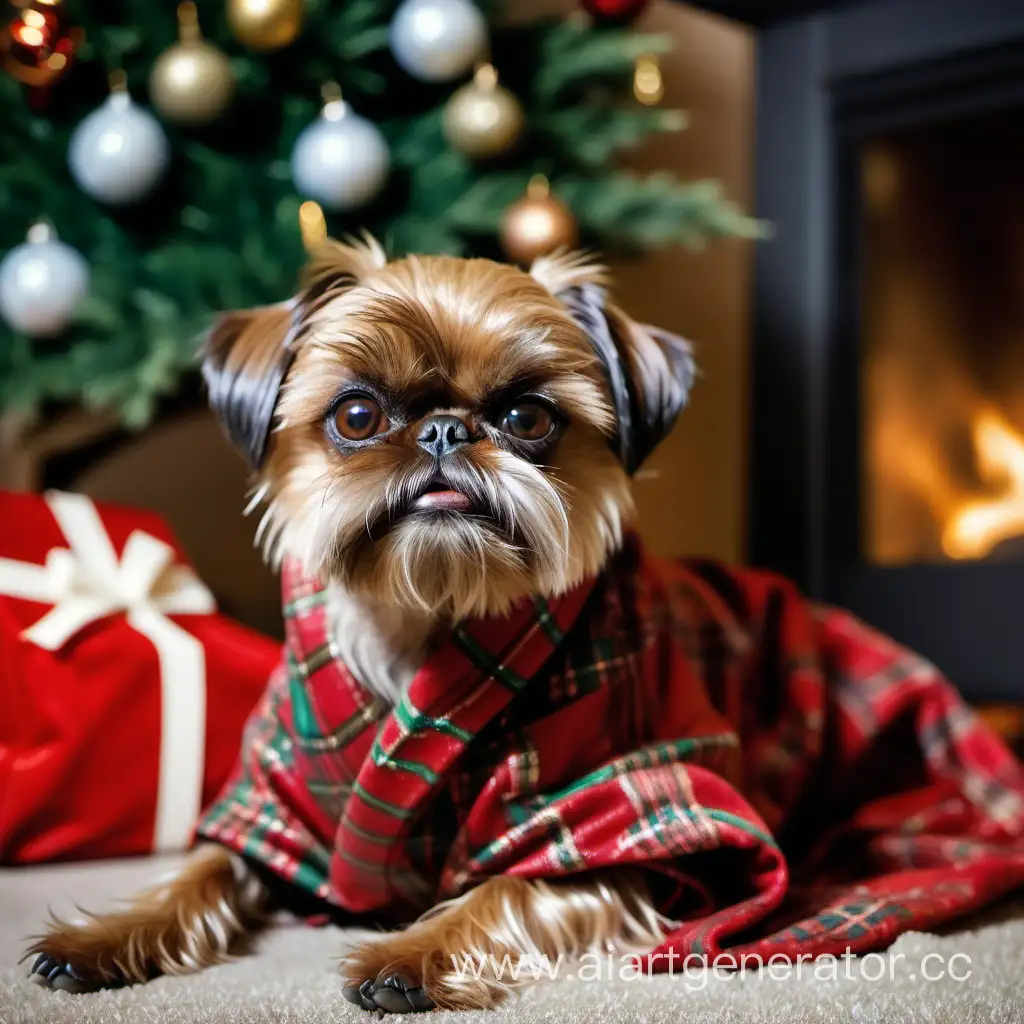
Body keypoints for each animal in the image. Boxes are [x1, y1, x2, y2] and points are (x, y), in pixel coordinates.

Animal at [25, 237, 696, 1007]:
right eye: (357, 417)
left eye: (528, 419)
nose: (444, 429)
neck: (419, 622)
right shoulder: (272, 811)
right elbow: (199, 870)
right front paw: (102, 937)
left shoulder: (600, 822)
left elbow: (508, 891)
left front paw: (413, 954)